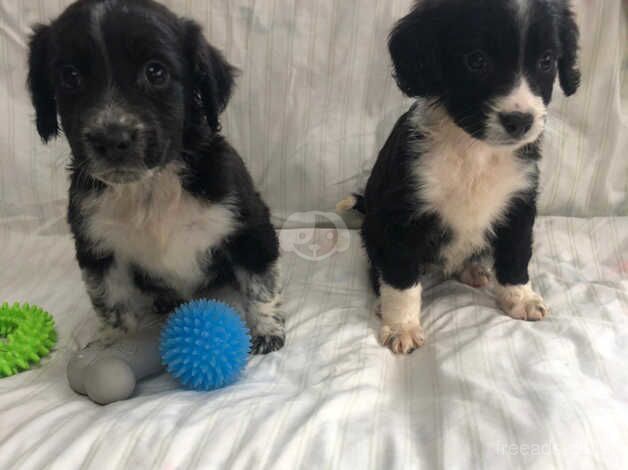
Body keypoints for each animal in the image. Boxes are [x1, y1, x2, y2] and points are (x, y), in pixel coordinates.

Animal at [27, 0, 284, 352]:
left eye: (155, 72)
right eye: (70, 76)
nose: (111, 138)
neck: (149, 186)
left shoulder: (248, 221)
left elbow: (259, 279)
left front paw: (266, 329)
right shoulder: (98, 246)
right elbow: (111, 301)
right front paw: (114, 344)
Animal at [340, 0, 580, 352]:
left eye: (547, 61)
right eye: (476, 60)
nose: (520, 121)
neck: (474, 150)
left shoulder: (519, 202)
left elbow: (516, 254)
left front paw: (520, 297)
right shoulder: (400, 215)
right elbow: (401, 278)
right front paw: (402, 325)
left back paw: (472, 269)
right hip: (373, 227)